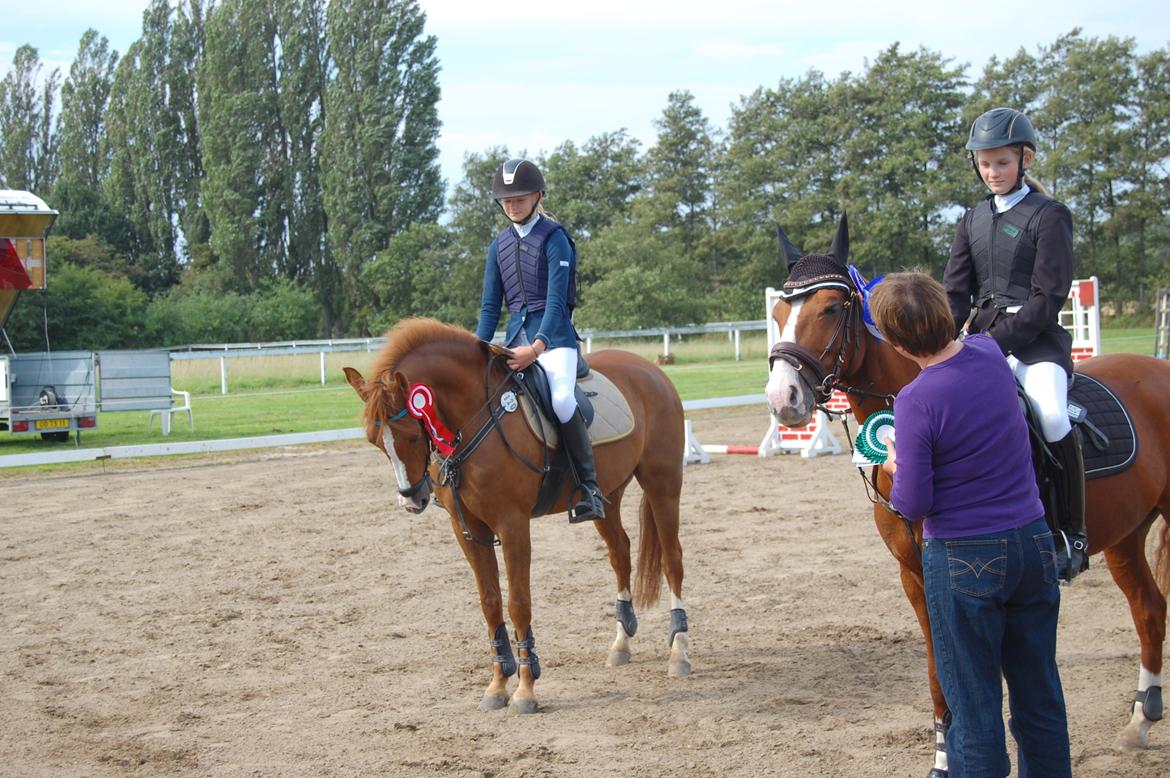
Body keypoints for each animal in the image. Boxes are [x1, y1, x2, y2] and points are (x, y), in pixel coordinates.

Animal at [341, 315, 687, 711]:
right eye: (374, 441)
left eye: (412, 435)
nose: (412, 499)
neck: (472, 418)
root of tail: (651, 369)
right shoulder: (468, 530)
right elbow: (490, 602)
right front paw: (497, 685)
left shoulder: (512, 524)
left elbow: (518, 602)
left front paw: (525, 688)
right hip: (608, 496)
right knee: (621, 553)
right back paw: (621, 643)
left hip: (663, 483)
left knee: (672, 559)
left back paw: (679, 650)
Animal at [762, 214, 1165, 776]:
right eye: (779, 311)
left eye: (831, 308)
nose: (784, 400)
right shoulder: (916, 576)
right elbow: (940, 672)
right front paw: (942, 756)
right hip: (1127, 535)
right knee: (1149, 608)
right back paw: (1140, 721)